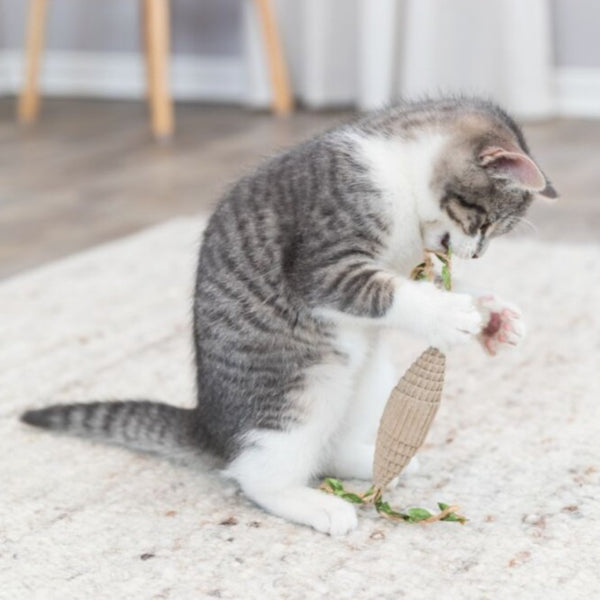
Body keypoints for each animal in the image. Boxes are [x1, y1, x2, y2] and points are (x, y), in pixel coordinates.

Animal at [23, 97, 556, 536]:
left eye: (494, 231)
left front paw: (493, 314)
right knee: (257, 472)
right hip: (303, 387)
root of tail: (209, 427)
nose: (478, 254)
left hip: (366, 380)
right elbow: (384, 292)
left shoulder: (406, 262)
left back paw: (374, 461)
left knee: (329, 445)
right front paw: (447, 314)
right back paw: (314, 504)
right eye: (484, 222)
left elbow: (420, 283)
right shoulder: (323, 263)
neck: (395, 171)